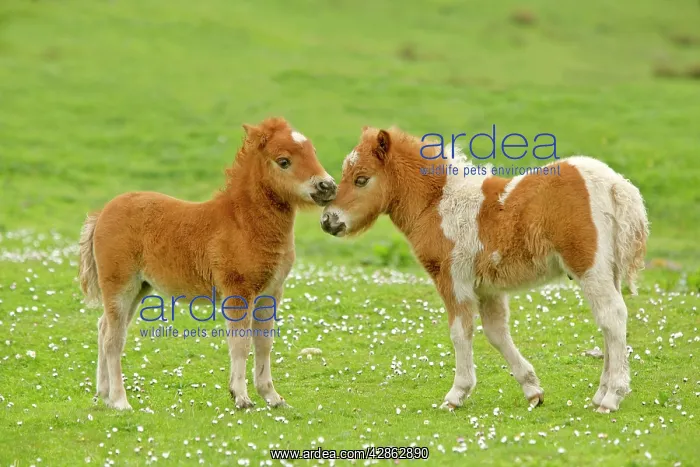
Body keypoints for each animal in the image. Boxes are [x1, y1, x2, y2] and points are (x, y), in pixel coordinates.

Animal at [79, 117, 336, 410]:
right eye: (283, 161)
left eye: (312, 151)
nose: (328, 186)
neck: (244, 224)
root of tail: (102, 213)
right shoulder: (238, 292)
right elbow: (240, 344)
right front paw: (241, 397)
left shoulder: (270, 293)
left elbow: (264, 343)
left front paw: (272, 397)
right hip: (120, 285)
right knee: (113, 339)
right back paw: (120, 401)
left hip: (139, 288)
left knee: (104, 328)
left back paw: (103, 395)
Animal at [320, 126, 648, 413]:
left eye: (362, 179)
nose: (328, 221)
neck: (437, 203)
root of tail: (615, 184)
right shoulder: (488, 288)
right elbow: (496, 333)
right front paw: (532, 390)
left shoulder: (452, 280)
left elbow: (460, 332)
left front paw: (456, 394)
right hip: (607, 271)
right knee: (607, 323)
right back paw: (601, 393)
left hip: (589, 268)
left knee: (612, 317)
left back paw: (611, 397)